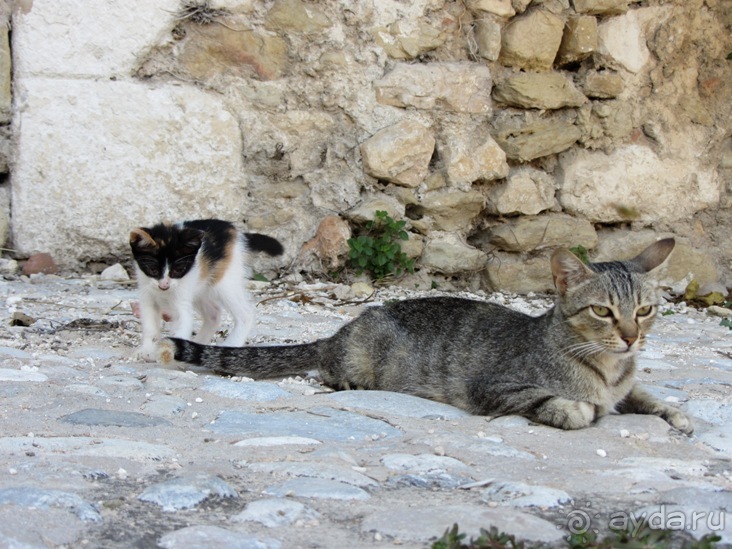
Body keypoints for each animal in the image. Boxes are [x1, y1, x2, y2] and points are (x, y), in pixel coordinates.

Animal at [129, 218, 284, 364]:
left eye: (178, 270)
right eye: (153, 270)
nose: (164, 285)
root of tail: (236, 233)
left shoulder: (181, 301)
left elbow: (183, 323)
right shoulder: (148, 298)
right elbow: (150, 327)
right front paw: (146, 350)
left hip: (225, 283)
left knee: (245, 313)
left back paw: (231, 343)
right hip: (201, 289)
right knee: (214, 313)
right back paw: (198, 343)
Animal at [159, 238, 692, 434]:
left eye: (645, 311)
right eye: (603, 311)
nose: (631, 338)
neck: (608, 370)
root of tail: (342, 329)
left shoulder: (626, 384)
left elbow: (644, 395)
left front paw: (673, 412)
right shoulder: (495, 387)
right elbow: (564, 405)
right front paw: (581, 409)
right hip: (356, 356)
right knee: (328, 370)